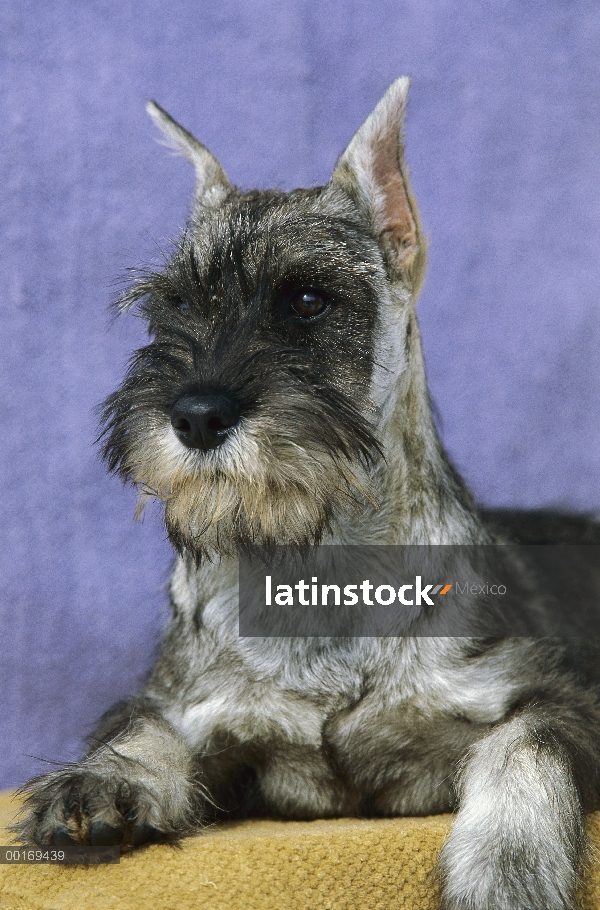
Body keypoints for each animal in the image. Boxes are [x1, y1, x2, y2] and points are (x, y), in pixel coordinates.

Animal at [14, 78, 600, 910]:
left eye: (309, 300)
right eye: (174, 307)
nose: (196, 416)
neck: (314, 564)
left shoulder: (549, 698)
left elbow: (525, 750)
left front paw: (508, 869)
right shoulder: (195, 711)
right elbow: (146, 730)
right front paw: (98, 784)